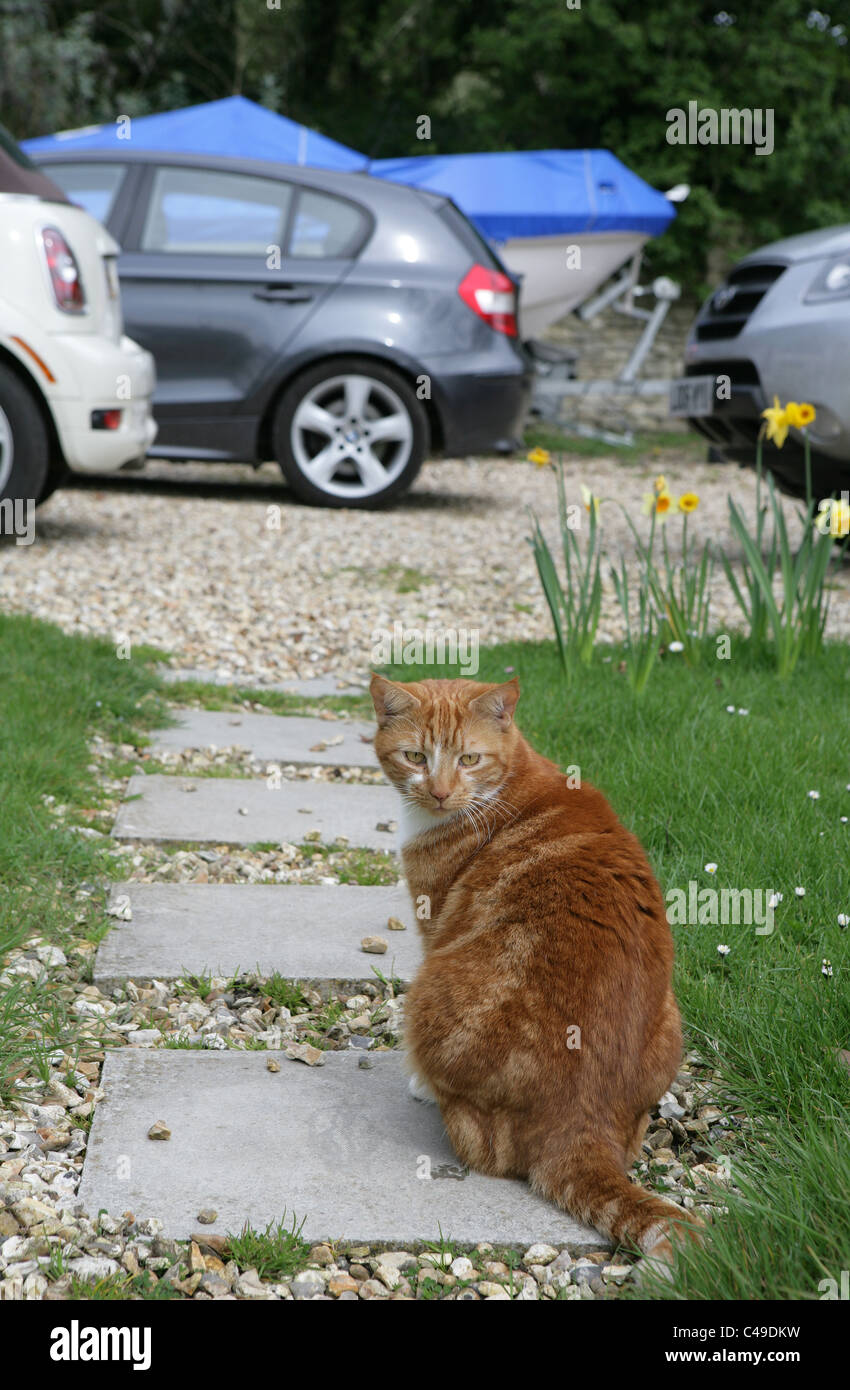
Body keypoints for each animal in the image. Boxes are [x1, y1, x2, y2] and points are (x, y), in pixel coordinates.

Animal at [369, 667, 697, 1267]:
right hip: (672, 1018)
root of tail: (578, 1126)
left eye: (469, 759)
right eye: (415, 756)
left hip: (429, 989)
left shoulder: (433, 925)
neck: (502, 784)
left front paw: (418, 1082)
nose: (440, 791)